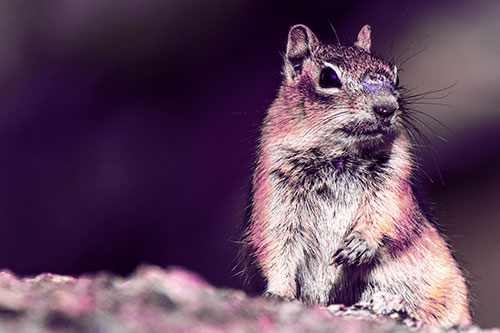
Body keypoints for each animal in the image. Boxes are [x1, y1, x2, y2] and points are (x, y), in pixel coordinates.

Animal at [246, 24, 472, 326]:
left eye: (395, 75)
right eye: (328, 77)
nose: (387, 108)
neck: (339, 156)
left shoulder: (394, 182)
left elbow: (388, 214)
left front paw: (359, 245)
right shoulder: (275, 188)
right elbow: (275, 244)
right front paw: (279, 293)